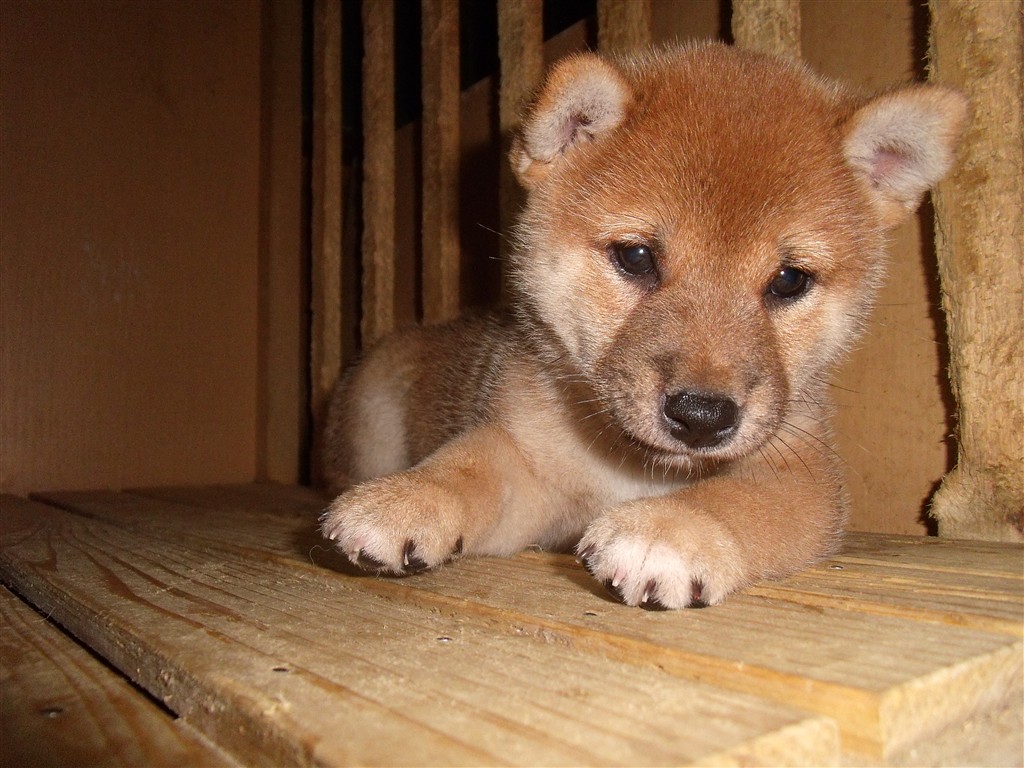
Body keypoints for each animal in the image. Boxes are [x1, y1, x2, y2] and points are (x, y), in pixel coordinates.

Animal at [321, 41, 966, 610]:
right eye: (635, 257)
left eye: (789, 281)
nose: (702, 416)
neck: (636, 472)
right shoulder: (529, 465)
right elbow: (470, 465)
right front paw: (408, 498)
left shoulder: (800, 474)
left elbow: (743, 499)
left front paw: (670, 530)